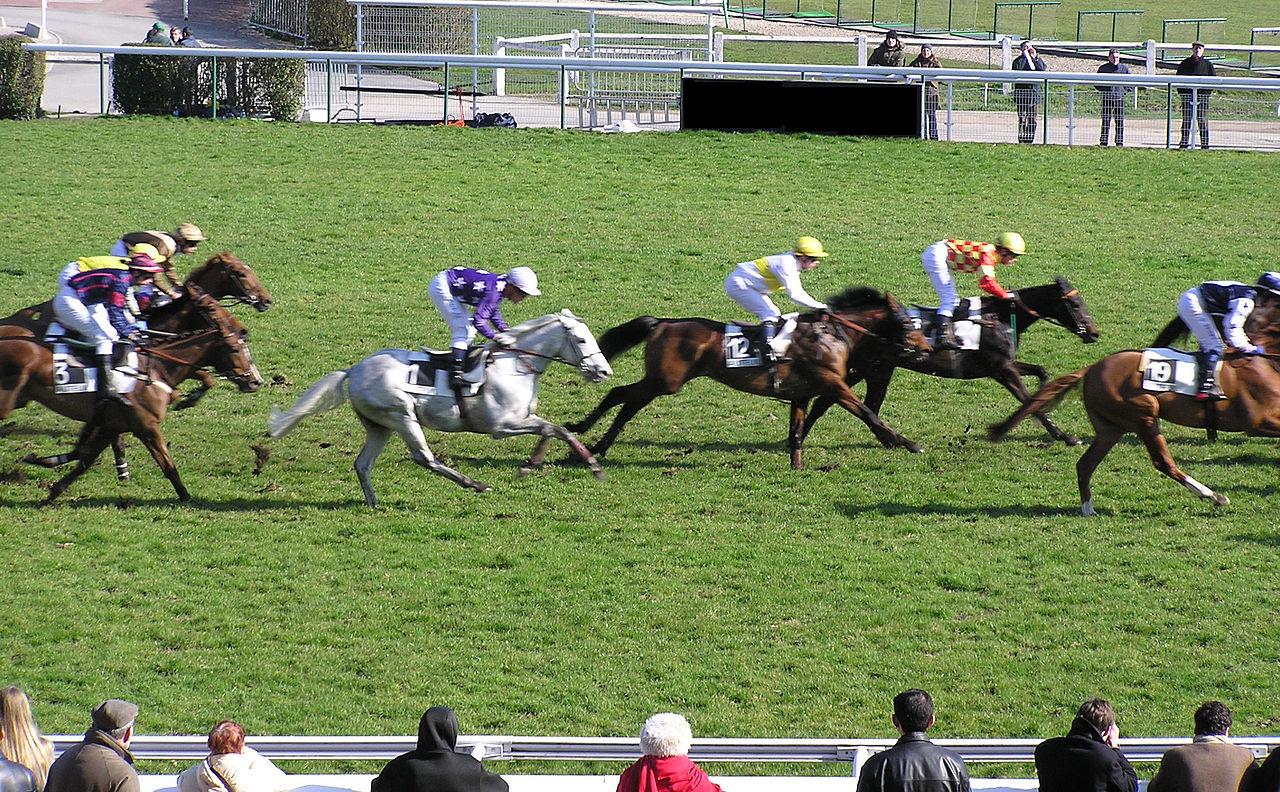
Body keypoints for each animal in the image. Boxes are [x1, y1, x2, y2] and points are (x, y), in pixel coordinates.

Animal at [0, 291, 263, 501]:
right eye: (235, 349)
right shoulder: (147, 426)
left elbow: (85, 459)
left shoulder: (112, 424)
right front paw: (186, 497)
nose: (255, 381)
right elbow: (168, 465)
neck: (155, 366)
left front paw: (52, 487)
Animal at [266, 310, 614, 509]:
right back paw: (475, 484)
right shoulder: (502, 426)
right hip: (401, 416)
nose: (604, 371)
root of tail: (353, 370)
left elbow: (555, 430)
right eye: (582, 340)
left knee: (362, 464)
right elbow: (556, 429)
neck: (515, 363)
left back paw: (373, 502)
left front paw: (535, 464)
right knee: (425, 458)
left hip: (380, 426)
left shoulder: (522, 419)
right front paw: (592, 467)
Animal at [570, 286, 931, 468]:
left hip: (661, 381)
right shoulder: (834, 384)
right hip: (666, 382)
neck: (833, 335)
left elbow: (797, 431)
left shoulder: (802, 392)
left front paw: (796, 466)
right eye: (907, 322)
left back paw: (590, 438)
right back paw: (590, 439)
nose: (927, 347)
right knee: (625, 399)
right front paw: (906, 443)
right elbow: (869, 413)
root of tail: (662, 323)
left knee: (621, 396)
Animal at [798, 276, 1100, 445]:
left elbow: (1041, 374)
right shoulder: (1002, 370)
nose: (1094, 332)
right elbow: (1029, 402)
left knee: (852, 403)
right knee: (831, 400)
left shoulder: (1002, 366)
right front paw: (1064, 436)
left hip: (878, 371)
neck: (1000, 318)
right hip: (865, 368)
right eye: (1075, 305)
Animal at [993, 291, 1280, 514]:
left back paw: (1088, 508)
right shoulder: (1257, 421)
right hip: (1144, 414)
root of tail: (1092, 368)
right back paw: (1213, 496)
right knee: (1163, 462)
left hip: (1111, 428)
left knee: (1085, 464)